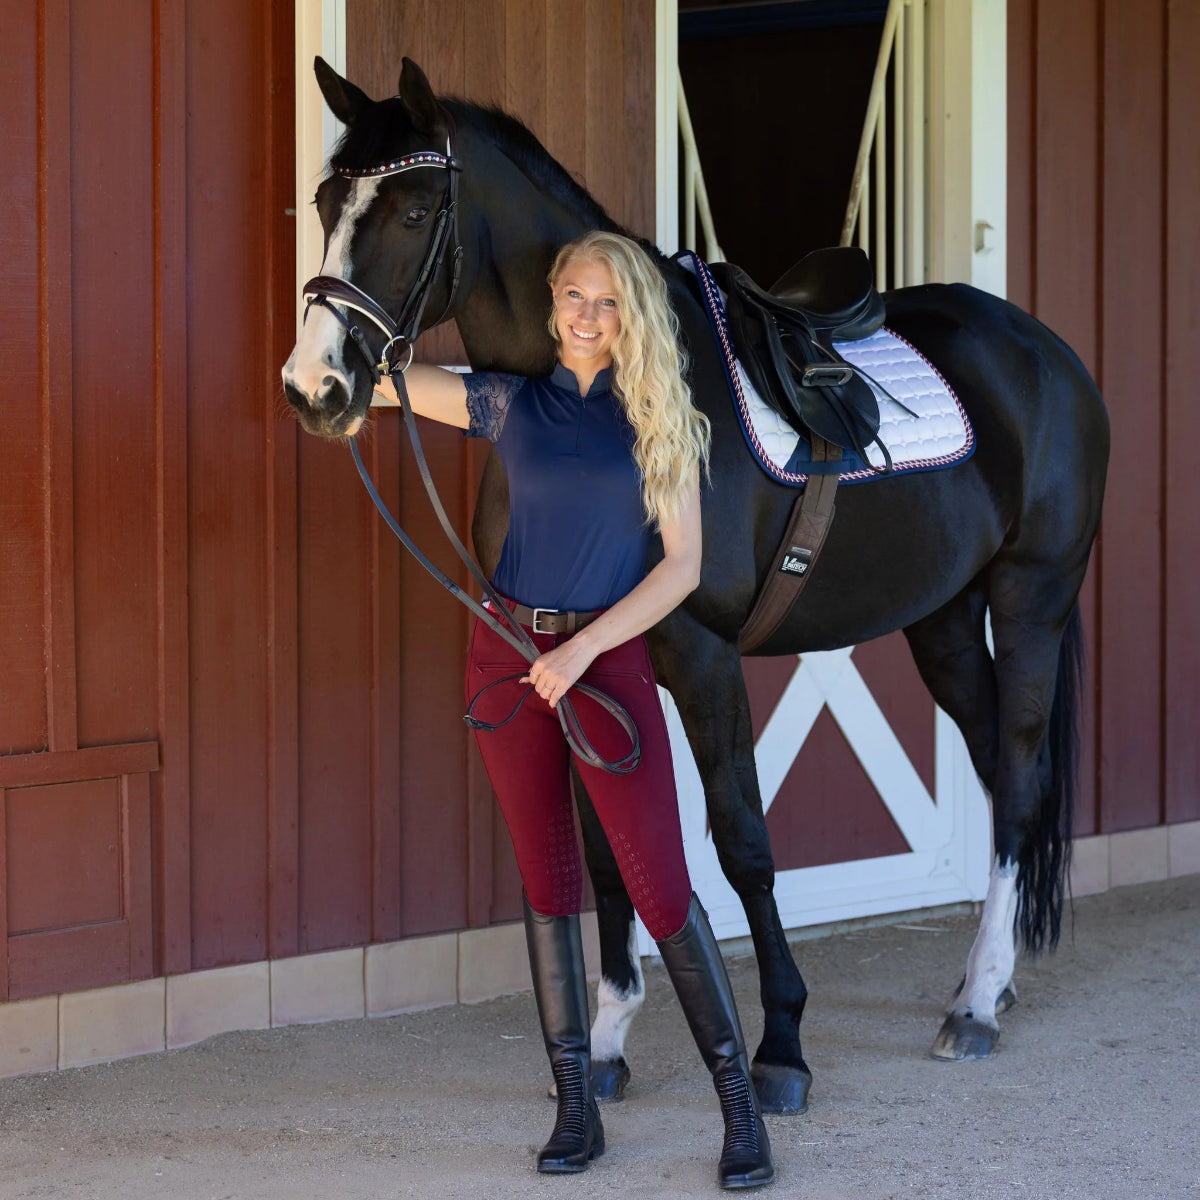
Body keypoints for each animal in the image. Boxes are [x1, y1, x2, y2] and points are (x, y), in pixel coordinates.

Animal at [282, 58, 1109, 1114]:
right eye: (325, 202)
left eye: (418, 210)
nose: (317, 390)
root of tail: (1042, 348)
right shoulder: (569, 662)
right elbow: (608, 856)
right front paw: (604, 1040)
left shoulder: (704, 659)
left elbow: (743, 843)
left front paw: (783, 1046)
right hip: (946, 622)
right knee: (998, 767)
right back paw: (983, 987)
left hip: (1032, 597)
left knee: (1020, 770)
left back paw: (976, 1006)